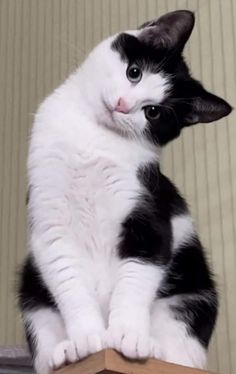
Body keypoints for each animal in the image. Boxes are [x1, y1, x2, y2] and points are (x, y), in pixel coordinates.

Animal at [18, 10, 232, 374]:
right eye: (134, 72)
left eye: (153, 112)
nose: (122, 104)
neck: (94, 139)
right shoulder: (50, 222)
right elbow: (69, 281)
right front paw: (86, 339)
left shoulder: (150, 215)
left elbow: (135, 279)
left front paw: (126, 336)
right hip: (31, 288)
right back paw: (59, 352)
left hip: (191, 295)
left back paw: (157, 348)